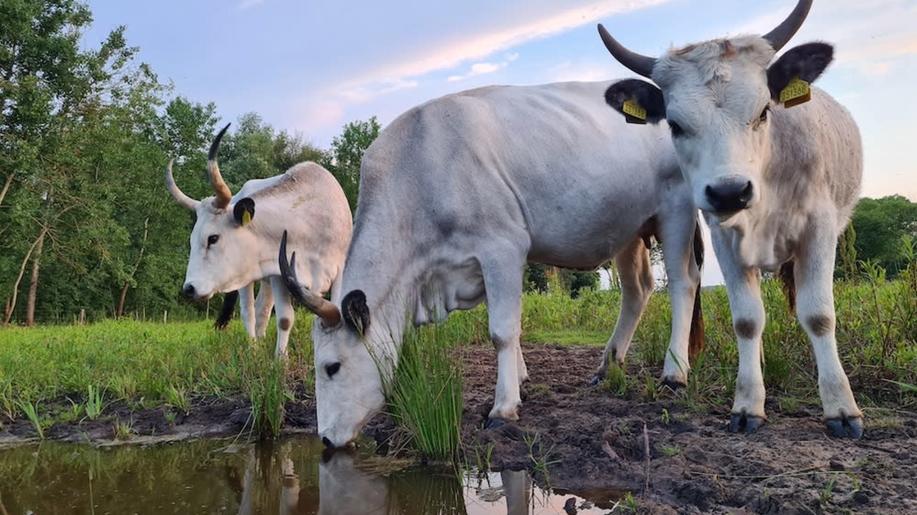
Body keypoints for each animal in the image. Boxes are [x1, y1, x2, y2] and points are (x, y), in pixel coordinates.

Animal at [165, 124, 350, 358]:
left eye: (212, 238)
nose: (189, 289)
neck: (313, 218)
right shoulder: (281, 274)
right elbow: (284, 318)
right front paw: (281, 360)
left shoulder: (340, 269)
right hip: (248, 280)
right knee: (250, 312)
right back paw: (253, 349)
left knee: (262, 309)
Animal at [282, 79, 704, 448]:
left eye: (331, 366)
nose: (325, 439)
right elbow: (508, 326)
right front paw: (521, 378)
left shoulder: (502, 246)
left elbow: (501, 331)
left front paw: (503, 407)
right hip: (628, 228)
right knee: (637, 290)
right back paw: (608, 366)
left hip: (677, 208)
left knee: (683, 282)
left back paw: (675, 374)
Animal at [596, 0, 864, 440]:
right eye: (675, 124)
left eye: (763, 111)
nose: (728, 192)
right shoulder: (725, 240)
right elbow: (747, 320)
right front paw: (748, 404)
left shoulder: (820, 231)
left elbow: (819, 315)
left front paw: (841, 409)